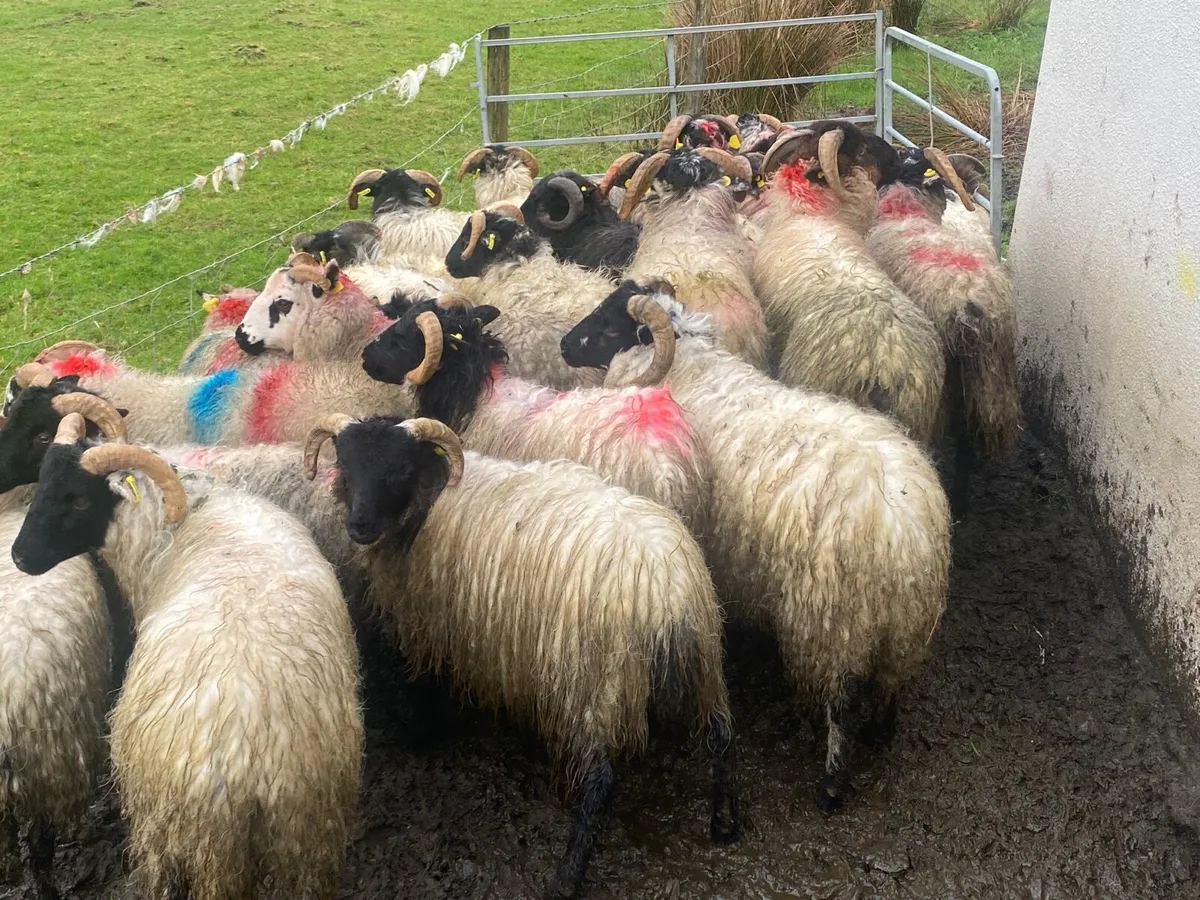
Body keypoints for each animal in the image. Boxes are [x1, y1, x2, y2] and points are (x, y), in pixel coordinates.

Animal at [10, 415, 363, 900]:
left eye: (79, 499)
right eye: (42, 480)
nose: (19, 558)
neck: (187, 514)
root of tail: (244, 764)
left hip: (171, 834)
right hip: (309, 837)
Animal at [303, 413, 738, 898]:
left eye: (398, 470)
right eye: (346, 463)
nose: (358, 527)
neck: (427, 500)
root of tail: (665, 586)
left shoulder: (430, 626)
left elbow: (427, 686)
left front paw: (423, 734)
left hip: (596, 680)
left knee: (600, 781)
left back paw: (567, 875)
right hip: (702, 657)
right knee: (720, 734)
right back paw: (723, 823)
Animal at [561, 279, 951, 814]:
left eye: (606, 325)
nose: (563, 345)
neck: (688, 370)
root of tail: (904, 527)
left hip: (834, 622)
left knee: (843, 702)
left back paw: (832, 785)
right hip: (907, 619)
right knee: (893, 679)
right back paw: (880, 733)